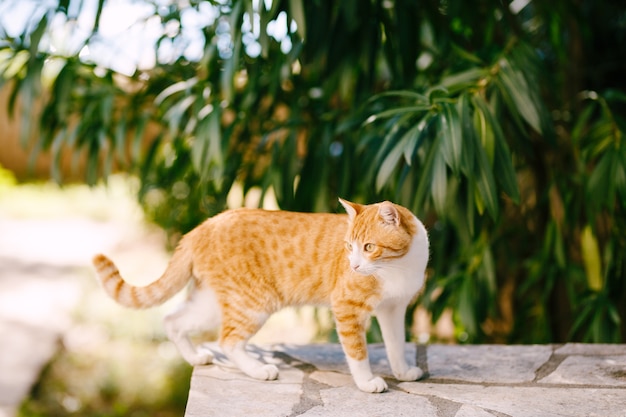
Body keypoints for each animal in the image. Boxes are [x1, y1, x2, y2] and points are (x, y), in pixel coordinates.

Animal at [90, 197, 426, 392]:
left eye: (368, 247)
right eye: (348, 247)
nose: (354, 265)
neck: (398, 267)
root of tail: (205, 224)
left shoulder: (393, 310)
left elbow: (396, 345)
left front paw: (402, 371)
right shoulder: (347, 307)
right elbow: (357, 352)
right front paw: (367, 382)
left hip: (212, 302)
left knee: (173, 320)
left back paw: (196, 357)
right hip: (253, 303)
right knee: (228, 340)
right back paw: (258, 369)